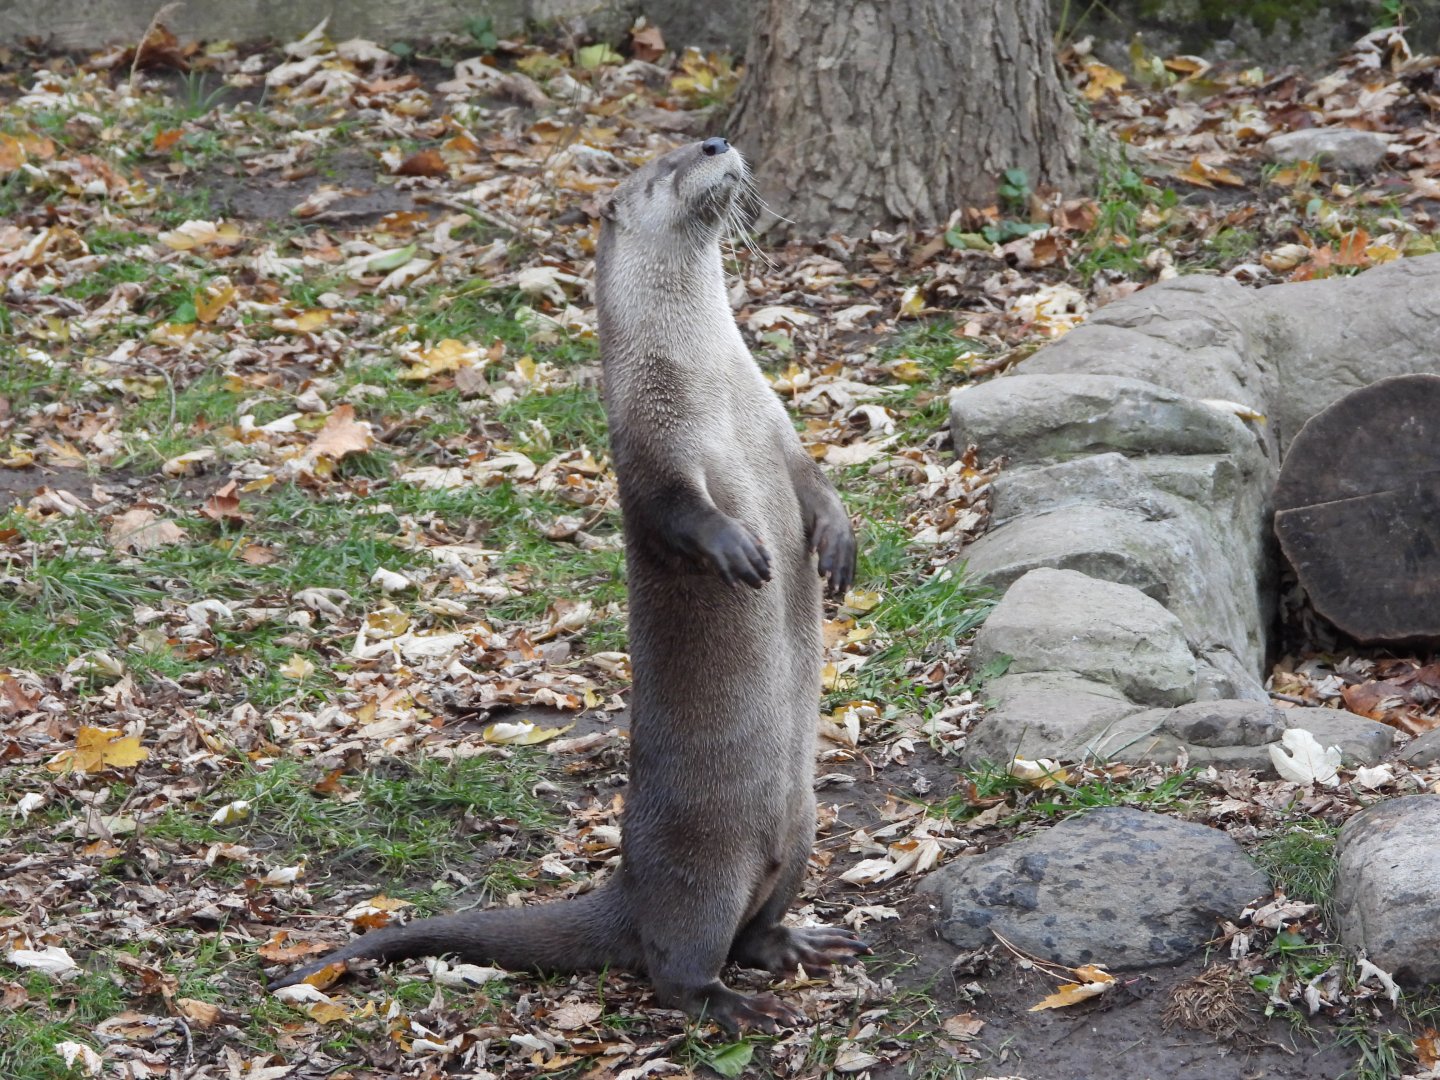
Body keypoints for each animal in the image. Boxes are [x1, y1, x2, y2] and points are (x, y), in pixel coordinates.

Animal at [269, 137, 863, 1031]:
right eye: (666, 167)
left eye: (694, 140)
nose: (717, 142)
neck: (715, 386)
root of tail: (629, 886)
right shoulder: (648, 443)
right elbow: (674, 511)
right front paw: (737, 550)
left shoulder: (778, 424)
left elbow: (815, 482)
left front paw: (839, 547)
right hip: (704, 867)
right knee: (677, 963)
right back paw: (733, 1006)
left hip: (803, 829)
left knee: (756, 925)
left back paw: (795, 943)